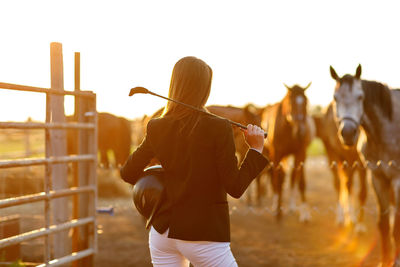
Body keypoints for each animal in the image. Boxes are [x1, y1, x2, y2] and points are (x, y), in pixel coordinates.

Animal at [262, 82, 316, 223]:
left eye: (306, 102)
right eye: (291, 102)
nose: (301, 132)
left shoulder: (300, 154)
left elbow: (300, 182)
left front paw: (304, 213)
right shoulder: (276, 154)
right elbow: (277, 179)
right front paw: (277, 210)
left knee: (293, 176)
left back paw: (292, 206)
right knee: (276, 176)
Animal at [314, 103, 368, 232]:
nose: (348, 134)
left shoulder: (362, 161)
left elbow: (362, 191)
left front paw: (359, 224)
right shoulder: (346, 157)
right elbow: (346, 186)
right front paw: (351, 221)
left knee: (348, 184)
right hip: (333, 156)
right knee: (340, 184)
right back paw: (342, 218)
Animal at [330, 64, 400, 266]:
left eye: (360, 97)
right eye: (335, 98)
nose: (348, 133)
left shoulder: (397, 179)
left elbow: (396, 225)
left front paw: (396, 261)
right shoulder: (377, 177)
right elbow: (383, 223)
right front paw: (385, 261)